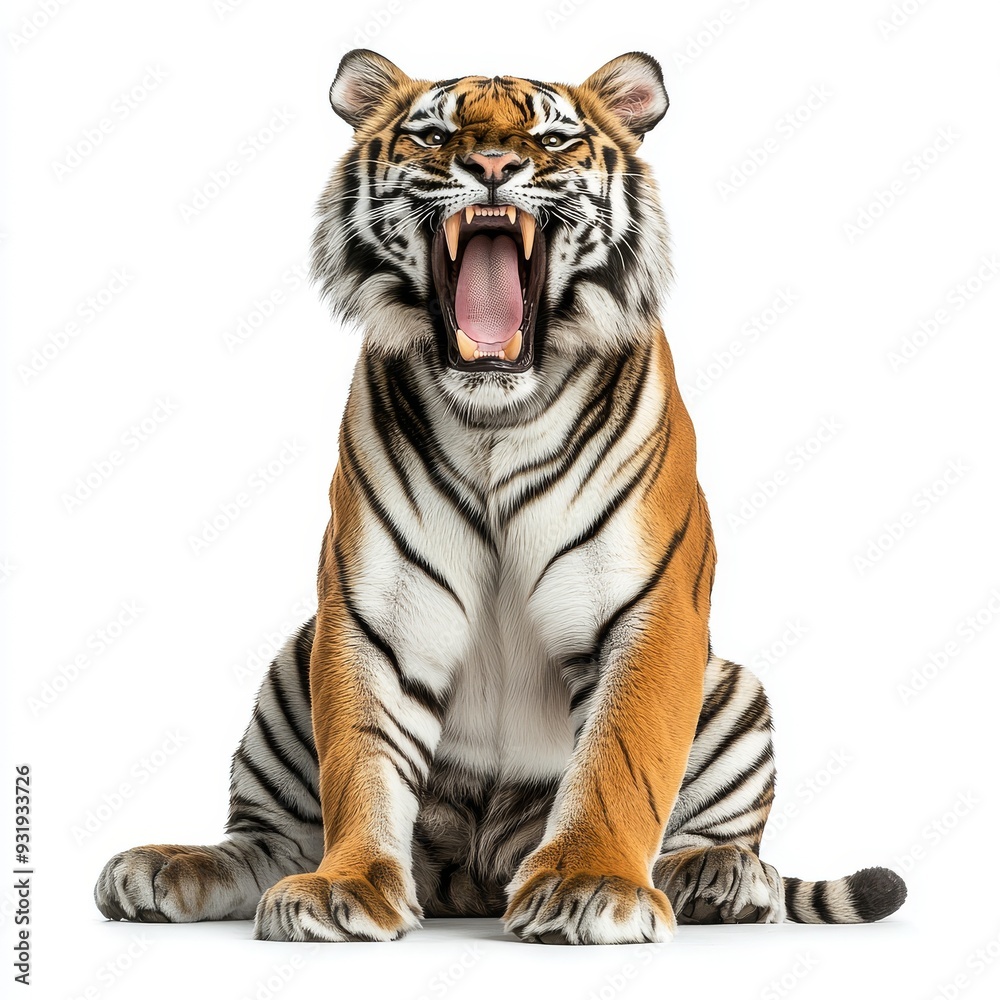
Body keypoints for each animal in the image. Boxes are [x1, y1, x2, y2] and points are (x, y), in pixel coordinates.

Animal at [94, 50, 906, 944]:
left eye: (552, 139)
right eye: (433, 135)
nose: (489, 166)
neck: (496, 412)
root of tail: (472, 879)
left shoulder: (650, 604)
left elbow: (622, 757)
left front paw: (590, 884)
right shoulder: (372, 610)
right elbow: (360, 754)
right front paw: (345, 887)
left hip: (736, 692)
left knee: (707, 834)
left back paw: (717, 876)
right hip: (287, 672)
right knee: (268, 840)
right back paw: (163, 868)